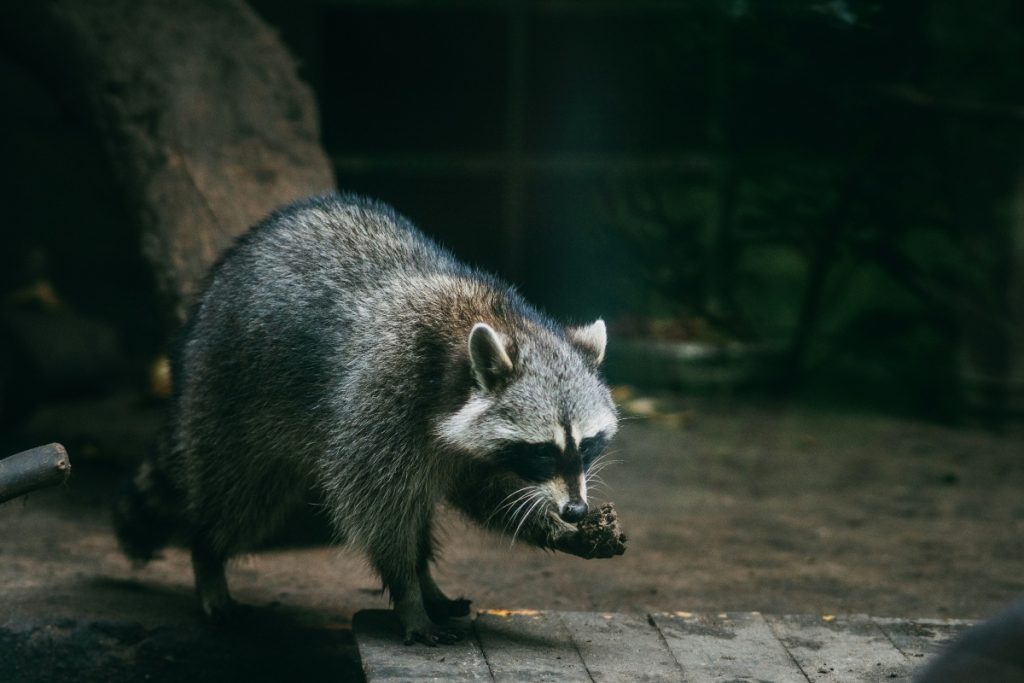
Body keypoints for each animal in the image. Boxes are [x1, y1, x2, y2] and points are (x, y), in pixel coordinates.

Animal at [114, 193, 623, 644]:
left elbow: (484, 494)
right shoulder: (382, 397)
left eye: (587, 445)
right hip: (229, 390)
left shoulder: (467, 447)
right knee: (240, 495)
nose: (576, 510)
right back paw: (207, 555)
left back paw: (430, 582)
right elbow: (376, 509)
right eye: (543, 451)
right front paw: (407, 594)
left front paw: (555, 528)